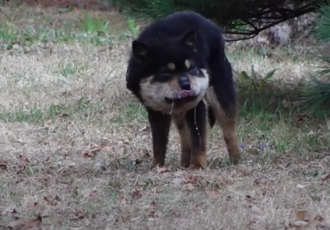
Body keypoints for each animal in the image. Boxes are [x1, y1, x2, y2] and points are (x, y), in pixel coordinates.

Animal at [125, 10, 241, 169]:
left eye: (191, 69)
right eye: (166, 74)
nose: (186, 85)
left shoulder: (196, 107)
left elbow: (198, 140)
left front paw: (198, 166)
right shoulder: (156, 111)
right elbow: (158, 143)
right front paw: (157, 166)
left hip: (220, 93)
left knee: (229, 129)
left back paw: (236, 160)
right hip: (179, 113)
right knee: (184, 136)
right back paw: (184, 162)